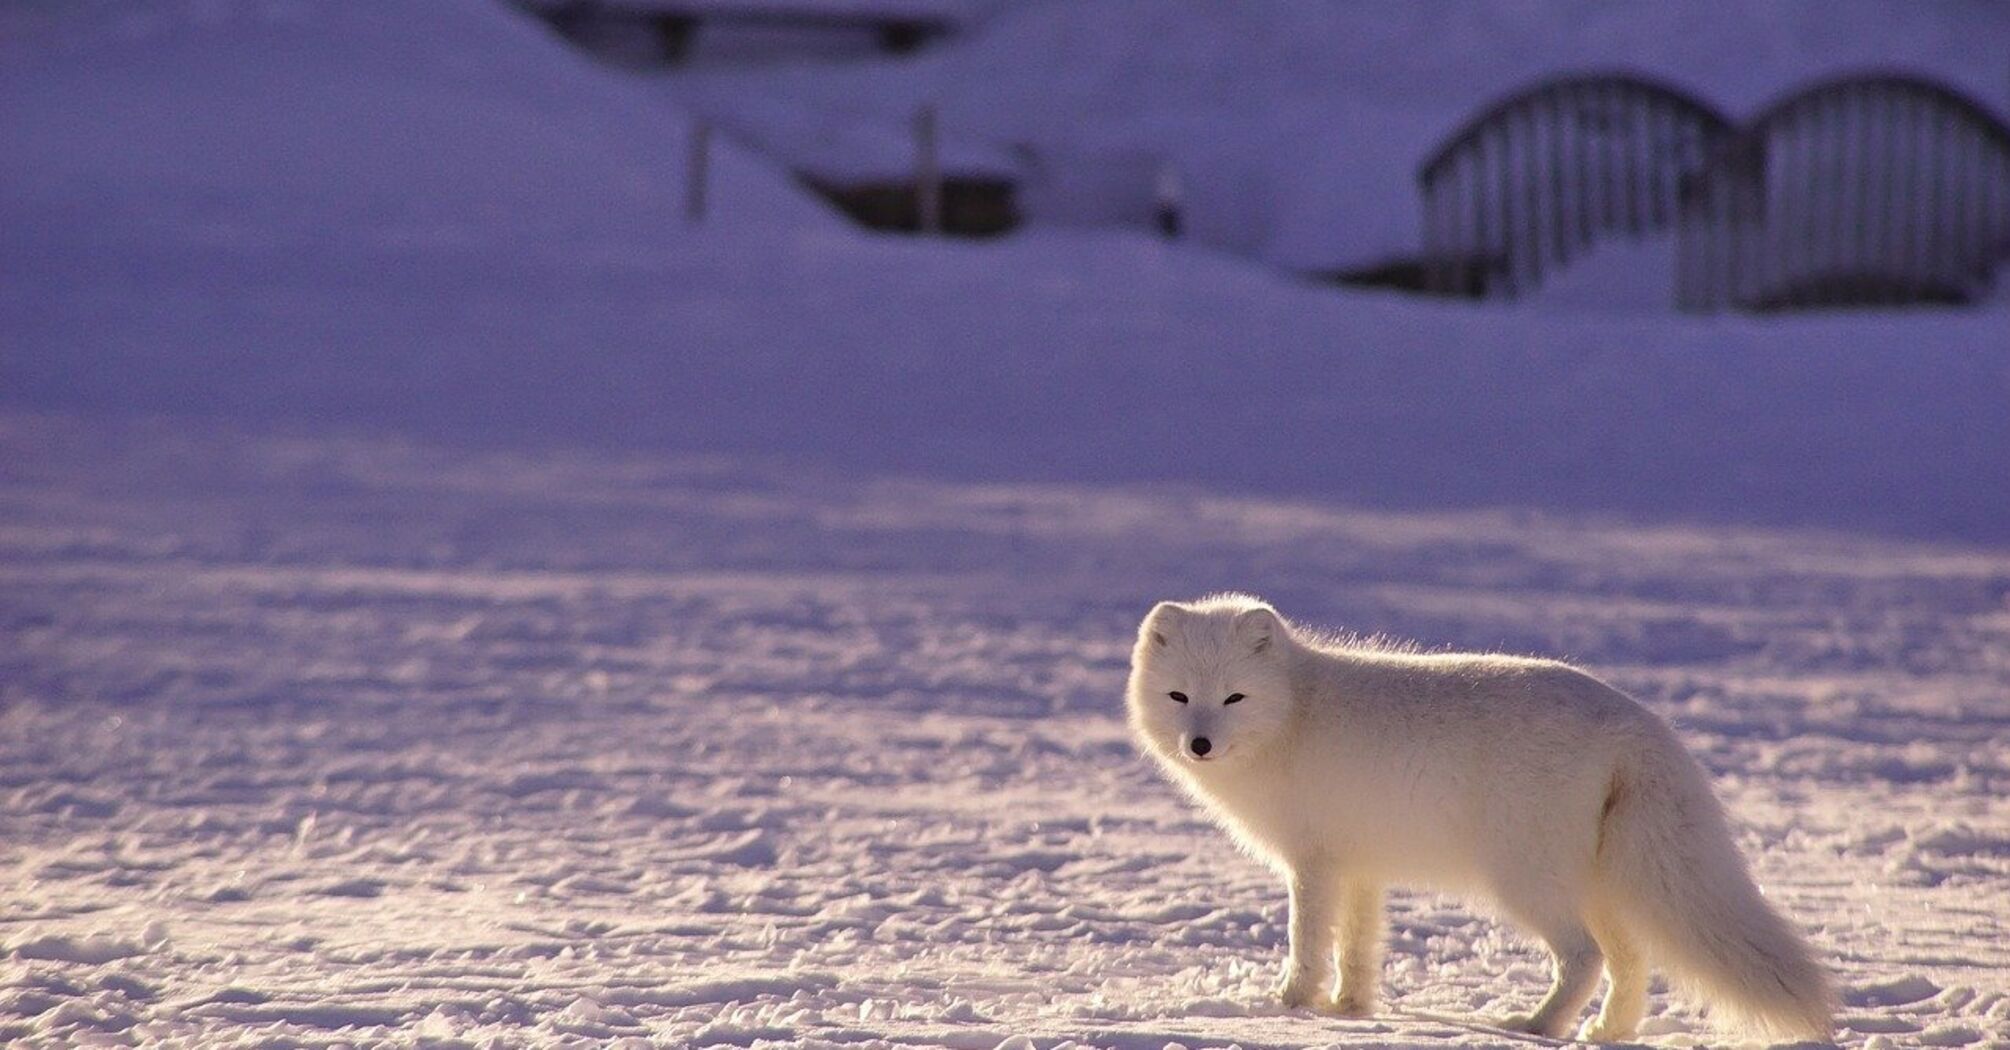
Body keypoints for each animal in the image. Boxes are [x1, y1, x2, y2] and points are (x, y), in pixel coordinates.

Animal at [1133, 587, 1841, 1037]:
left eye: (1234, 697)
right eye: (1179, 697)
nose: (1199, 744)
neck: (1294, 714)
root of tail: (1638, 724)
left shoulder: (1314, 865)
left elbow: (1307, 941)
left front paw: (1289, 1005)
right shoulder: (1360, 867)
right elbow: (1359, 946)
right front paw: (1349, 1010)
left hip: (1525, 880)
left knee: (1584, 957)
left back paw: (1538, 1024)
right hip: (1601, 885)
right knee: (1630, 962)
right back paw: (1605, 1032)